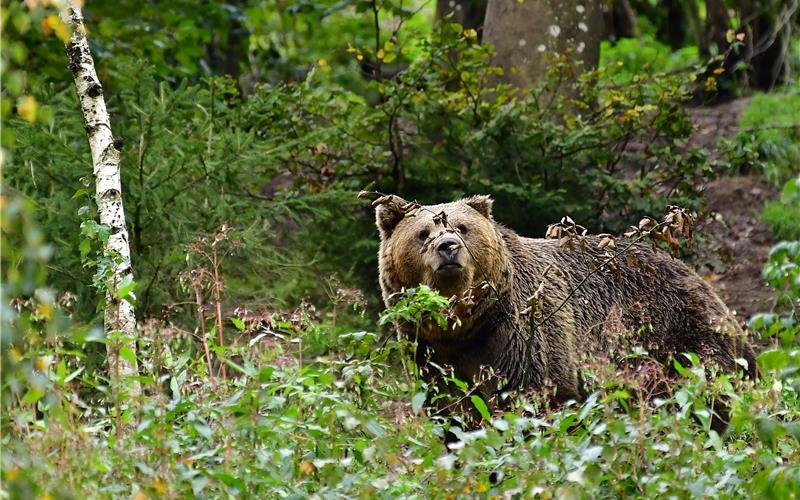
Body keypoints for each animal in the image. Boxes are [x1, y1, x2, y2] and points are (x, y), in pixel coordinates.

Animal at [372, 193, 760, 424]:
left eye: (463, 227)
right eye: (423, 232)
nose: (448, 247)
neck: (467, 325)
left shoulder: (523, 333)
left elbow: (540, 395)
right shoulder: (429, 350)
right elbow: (452, 411)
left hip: (674, 334)